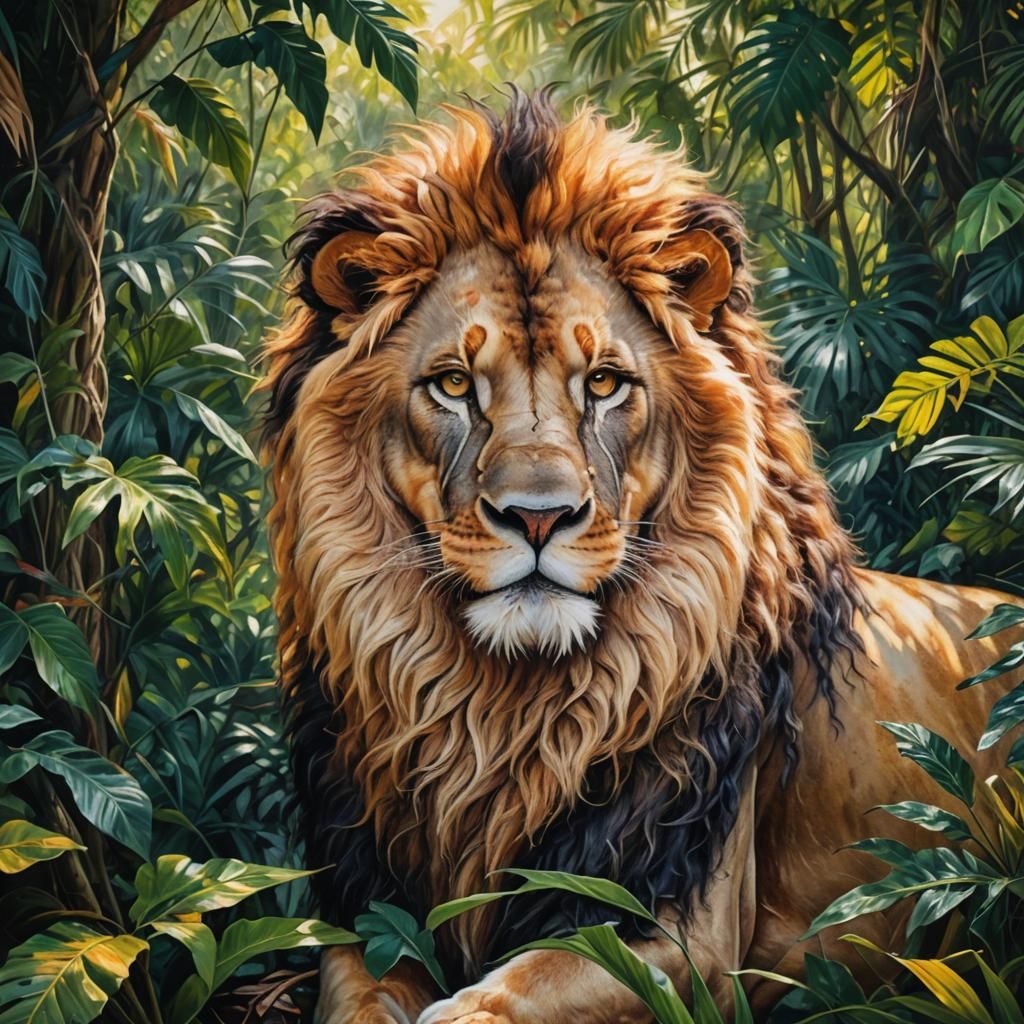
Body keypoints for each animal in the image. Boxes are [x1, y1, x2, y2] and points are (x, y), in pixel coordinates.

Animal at [263, 91, 1020, 1023]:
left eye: (603, 383)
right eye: (453, 384)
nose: (539, 517)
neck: (500, 717)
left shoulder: (683, 940)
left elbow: (506, 995)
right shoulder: (364, 917)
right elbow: (363, 1000)